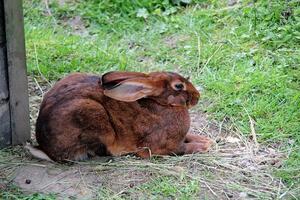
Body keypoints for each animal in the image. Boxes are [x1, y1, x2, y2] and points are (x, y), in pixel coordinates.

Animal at [35, 71, 212, 162]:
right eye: (179, 86)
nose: (197, 97)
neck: (161, 104)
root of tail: (44, 146)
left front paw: (206, 140)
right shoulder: (162, 147)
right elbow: (182, 149)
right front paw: (204, 146)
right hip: (92, 116)